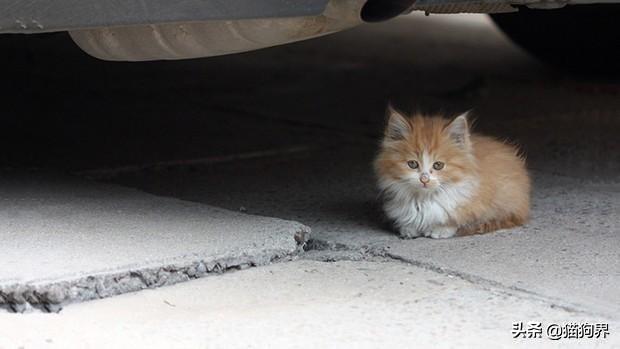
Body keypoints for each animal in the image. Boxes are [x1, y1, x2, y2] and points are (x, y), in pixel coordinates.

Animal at [372, 105, 528, 237]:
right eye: (412, 164)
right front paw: (408, 229)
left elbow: (454, 221)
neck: (424, 199)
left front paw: (440, 230)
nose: (424, 179)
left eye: (438, 165)